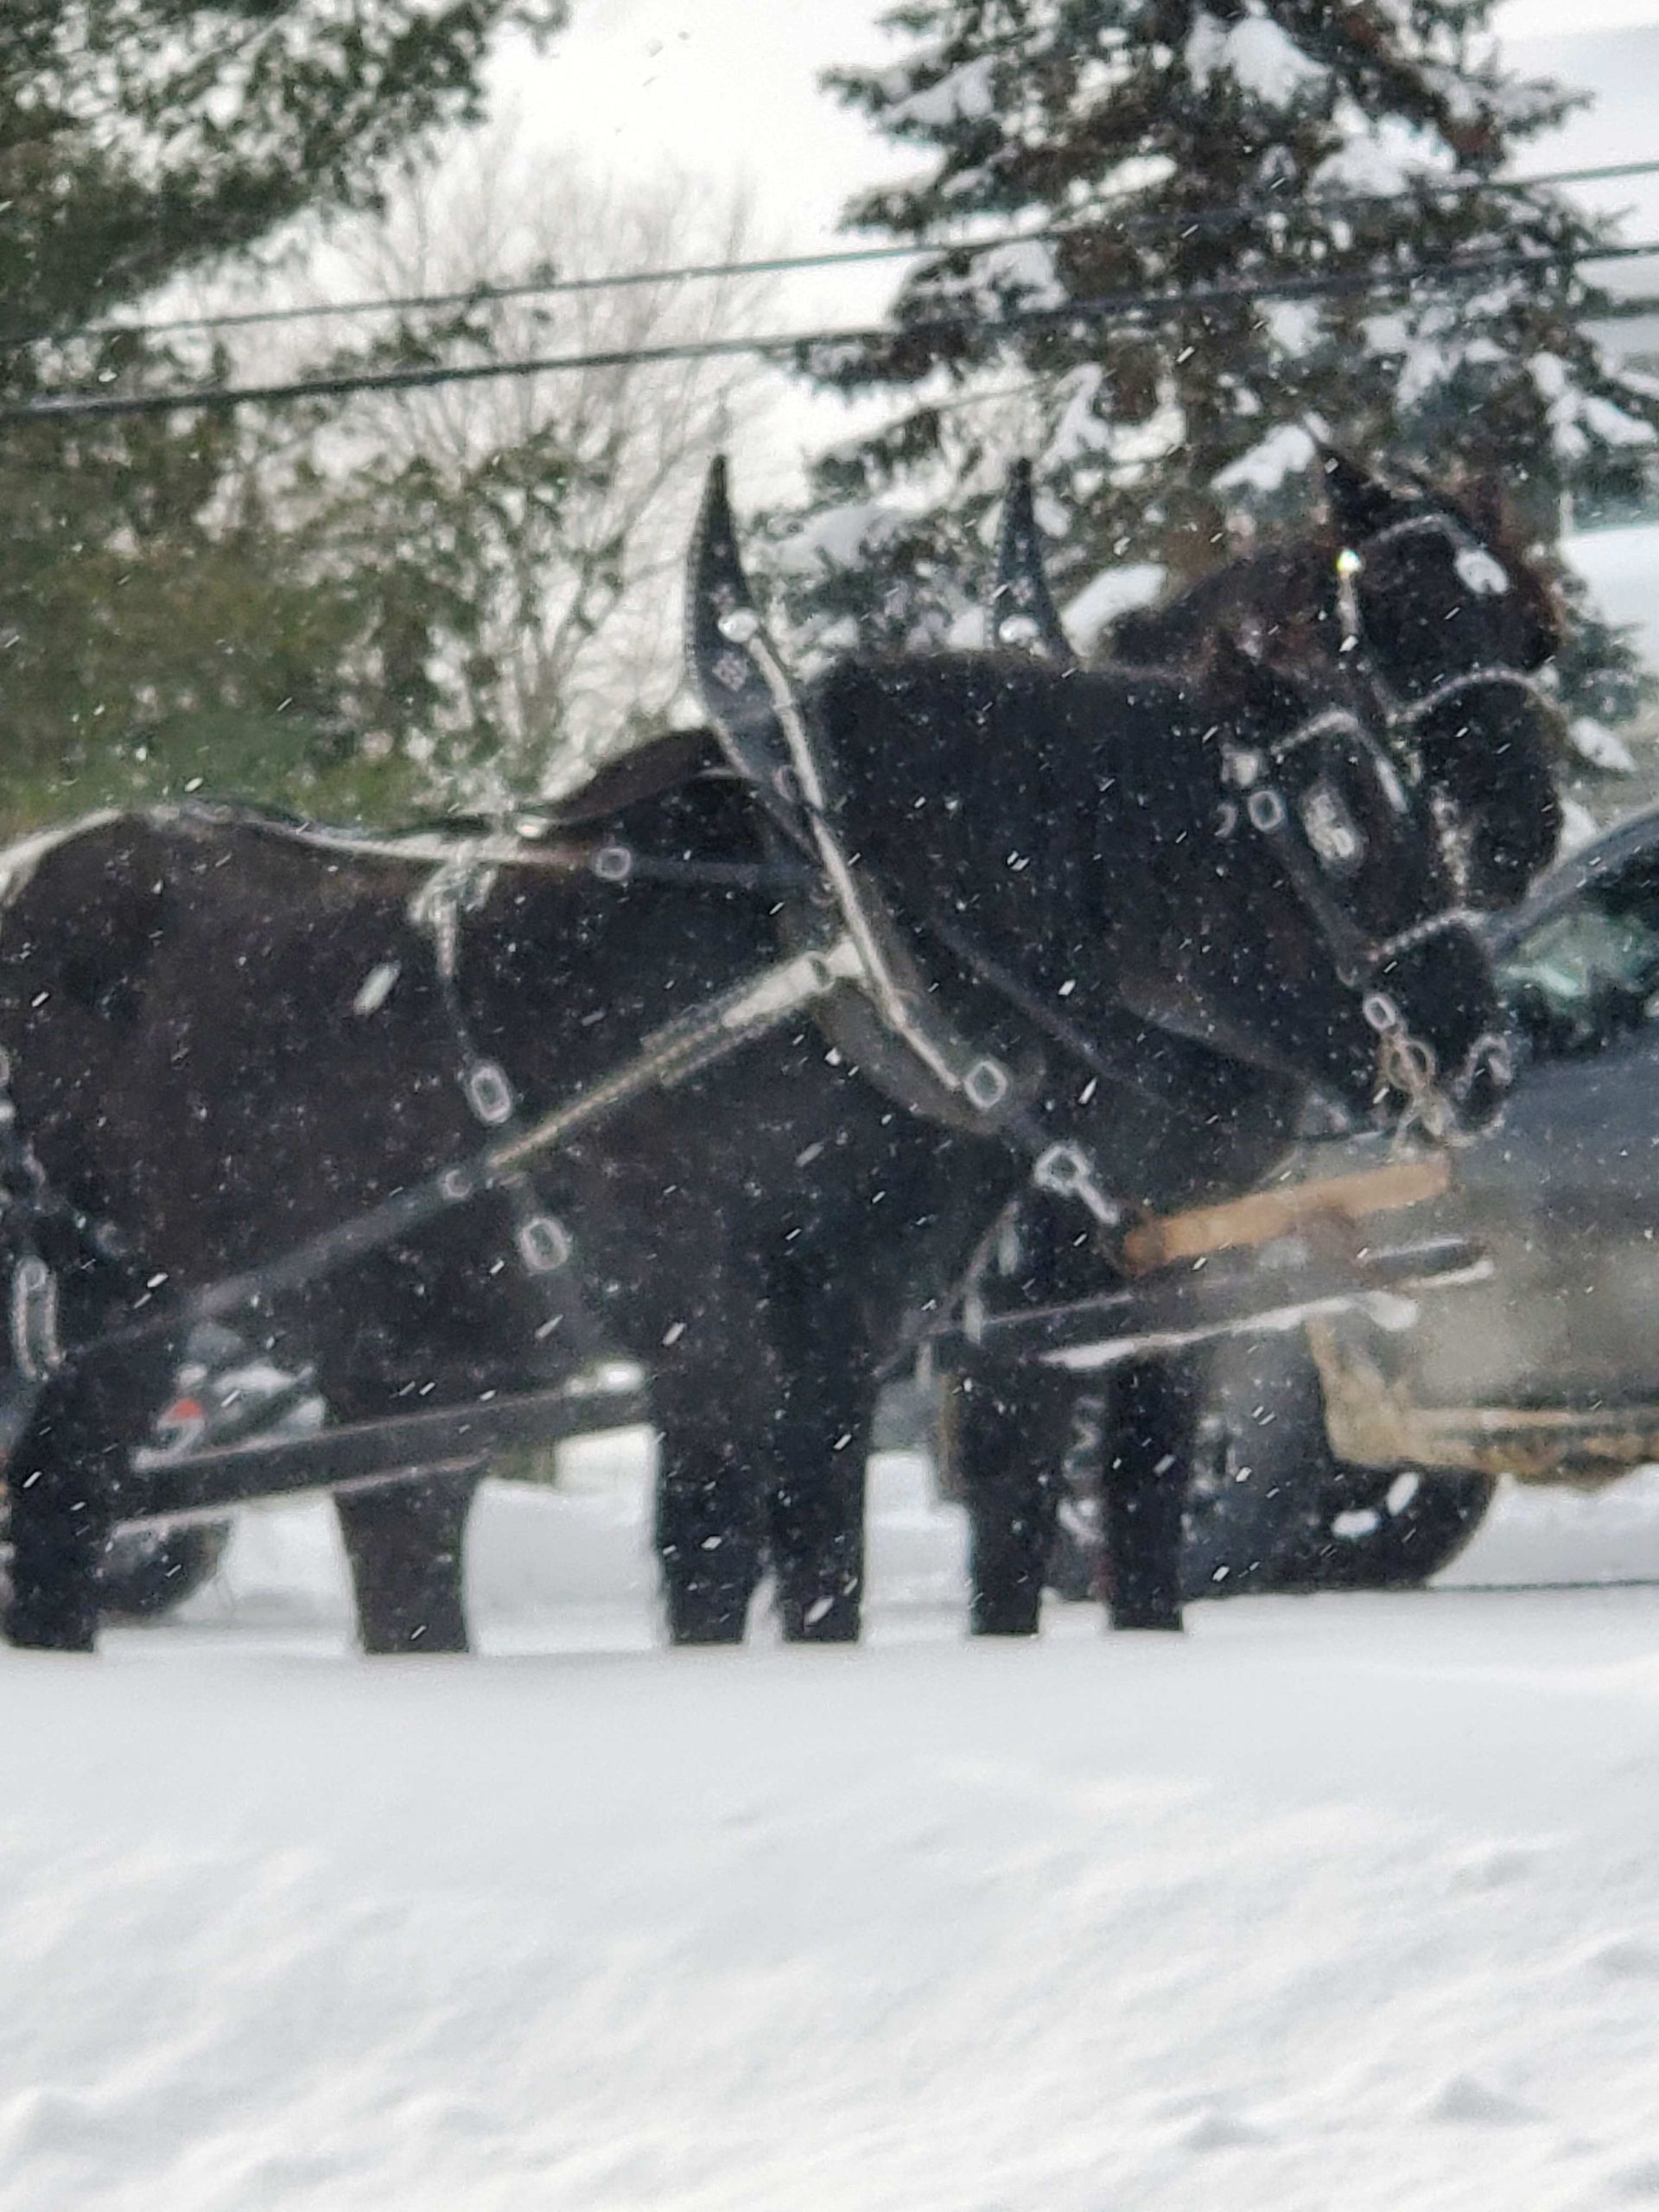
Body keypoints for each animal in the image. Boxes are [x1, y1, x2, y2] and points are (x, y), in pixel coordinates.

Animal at [0, 466, 1505, 1656]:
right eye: (1332, 826)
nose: (1479, 1053)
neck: (826, 952)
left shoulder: (862, 1340)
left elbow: (843, 1567)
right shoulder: (714, 1337)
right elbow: (732, 1567)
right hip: (107, 1303)